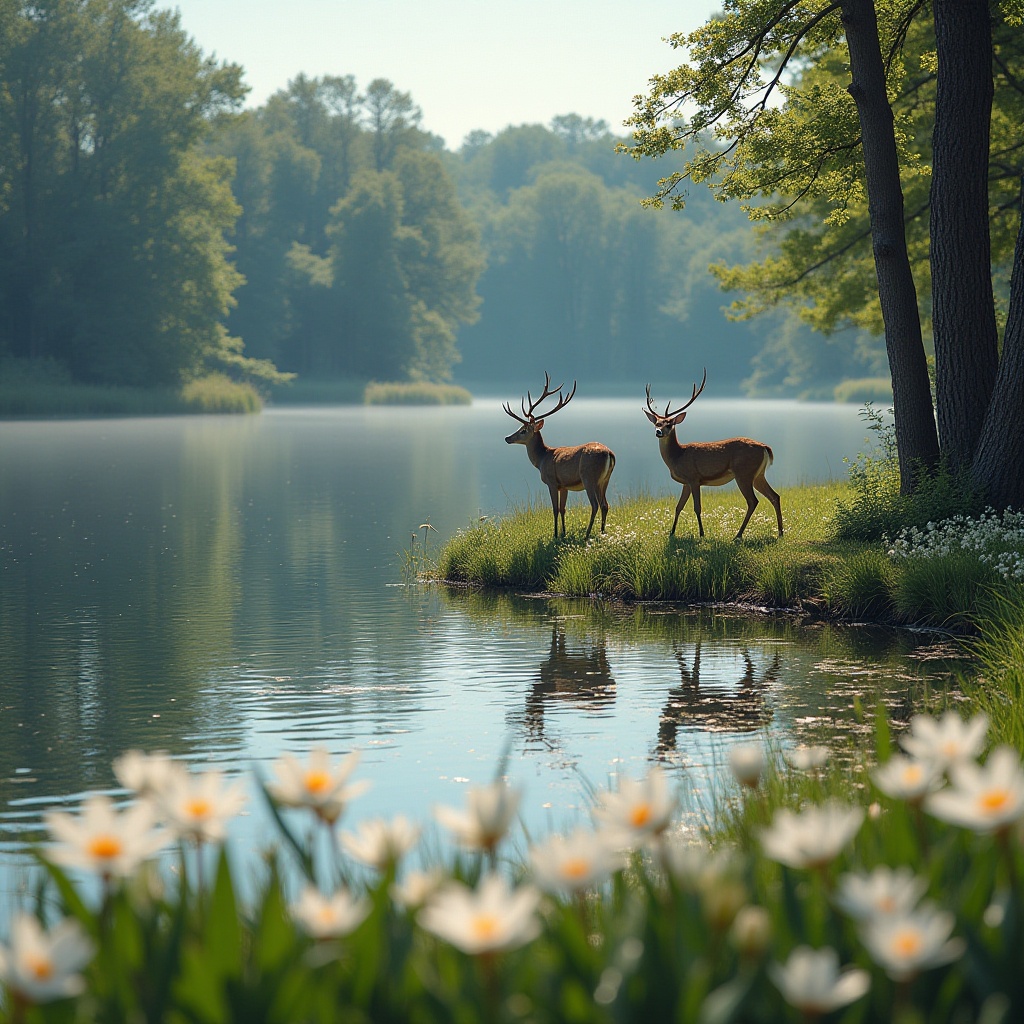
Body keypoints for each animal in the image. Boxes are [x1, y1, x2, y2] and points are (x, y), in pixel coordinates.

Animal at [504, 372, 616, 540]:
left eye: (523, 430)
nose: (507, 438)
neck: (542, 459)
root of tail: (609, 453)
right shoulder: (564, 486)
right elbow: (563, 509)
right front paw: (563, 533)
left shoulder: (551, 482)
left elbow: (555, 509)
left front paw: (555, 535)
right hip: (605, 479)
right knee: (605, 505)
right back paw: (602, 532)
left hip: (589, 477)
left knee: (595, 504)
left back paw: (587, 535)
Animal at [643, 370, 783, 540]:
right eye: (656, 423)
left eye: (669, 424)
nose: (658, 432)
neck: (677, 456)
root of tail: (765, 447)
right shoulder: (686, 483)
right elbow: (678, 507)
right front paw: (671, 533)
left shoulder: (694, 478)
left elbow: (697, 507)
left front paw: (702, 534)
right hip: (758, 474)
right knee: (774, 496)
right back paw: (780, 532)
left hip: (744, 473)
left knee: (753, 501)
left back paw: (738, 536)